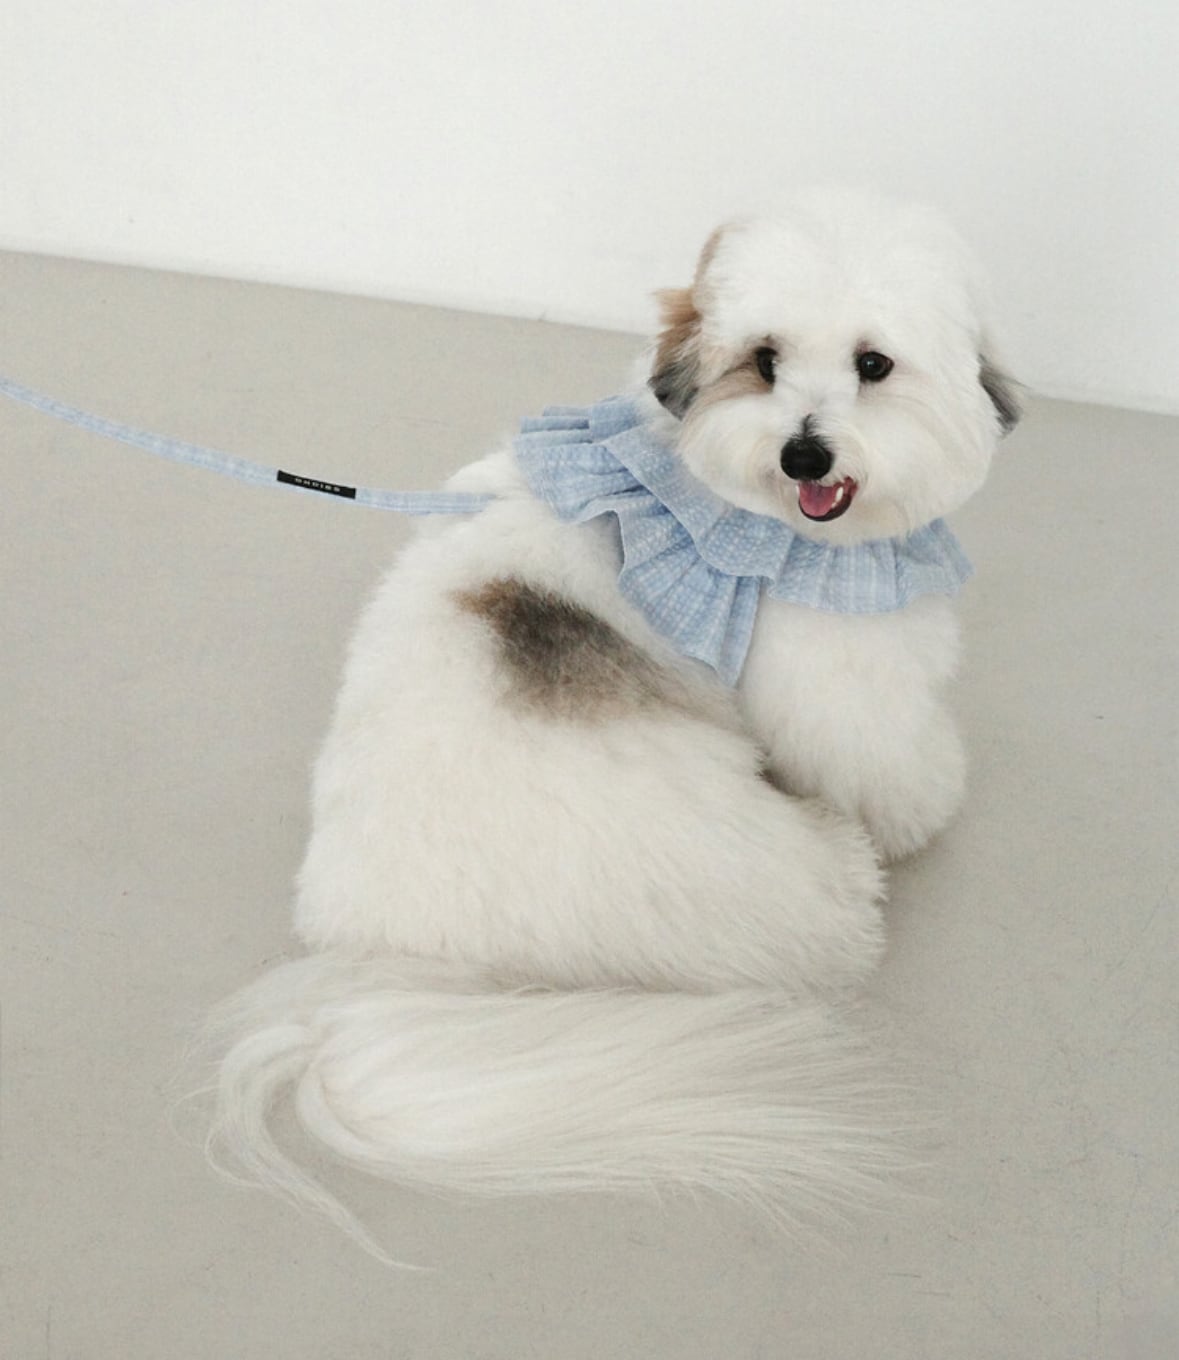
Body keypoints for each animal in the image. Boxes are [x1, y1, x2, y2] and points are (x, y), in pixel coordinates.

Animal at [206, 189, 1019, 1261]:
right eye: (763, 359)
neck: (712, 491)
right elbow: (881, 756)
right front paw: (924, 804)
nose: (803, 451)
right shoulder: (832, 673)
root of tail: (381, 967)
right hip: (754, 882)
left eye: (872, 365)